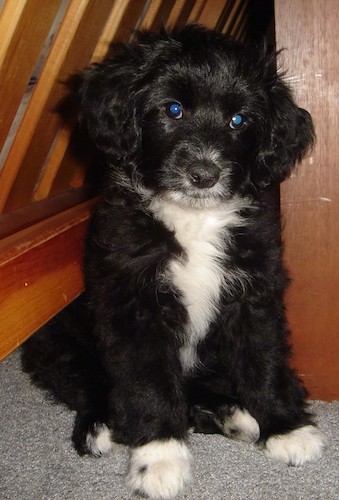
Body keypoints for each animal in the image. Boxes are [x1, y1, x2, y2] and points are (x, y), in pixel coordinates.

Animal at [23, 25, 326, 498]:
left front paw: (285, 427)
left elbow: (264, 358)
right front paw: (160, 456)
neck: (194, 220)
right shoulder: (135, 302)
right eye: (173, 109)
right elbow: (149, 380)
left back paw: (231, 414)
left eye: (239, 120)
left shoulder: (253, 291)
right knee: (88, 383)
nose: (204, 174)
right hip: (57, 340)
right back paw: (102, 427)